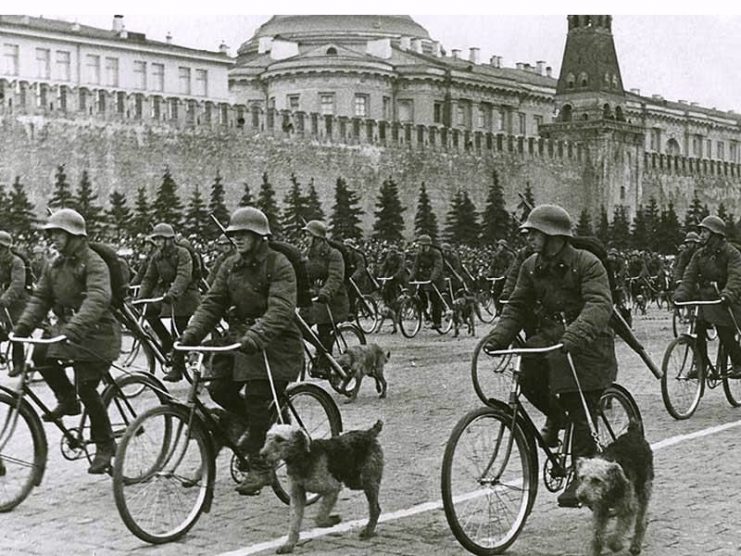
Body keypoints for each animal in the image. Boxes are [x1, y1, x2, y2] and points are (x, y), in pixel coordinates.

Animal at [260, 420, 384, 552]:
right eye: (267, 437)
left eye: (280, 439)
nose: (262, 454)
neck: (302, 458)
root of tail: (369, 433)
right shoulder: (297, 495)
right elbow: (294, 523)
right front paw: (288, 545)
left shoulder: (332, 488)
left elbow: (319, 517)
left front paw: (333, 520)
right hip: (354, 481)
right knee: (375, 503)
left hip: (366, 480)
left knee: (375, 508)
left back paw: (368, 531)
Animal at [576, 422, 652, 556]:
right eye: (582, 477)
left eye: (597, 480)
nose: (582, 496)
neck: (610, 490)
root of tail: (633, 431)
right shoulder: (600, 509)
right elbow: (597, 533)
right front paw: (596, 549)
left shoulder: (628, 508)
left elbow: (619, 530)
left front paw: (615, 545)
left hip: (643, 491)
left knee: (642, 522)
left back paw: (635, 545)